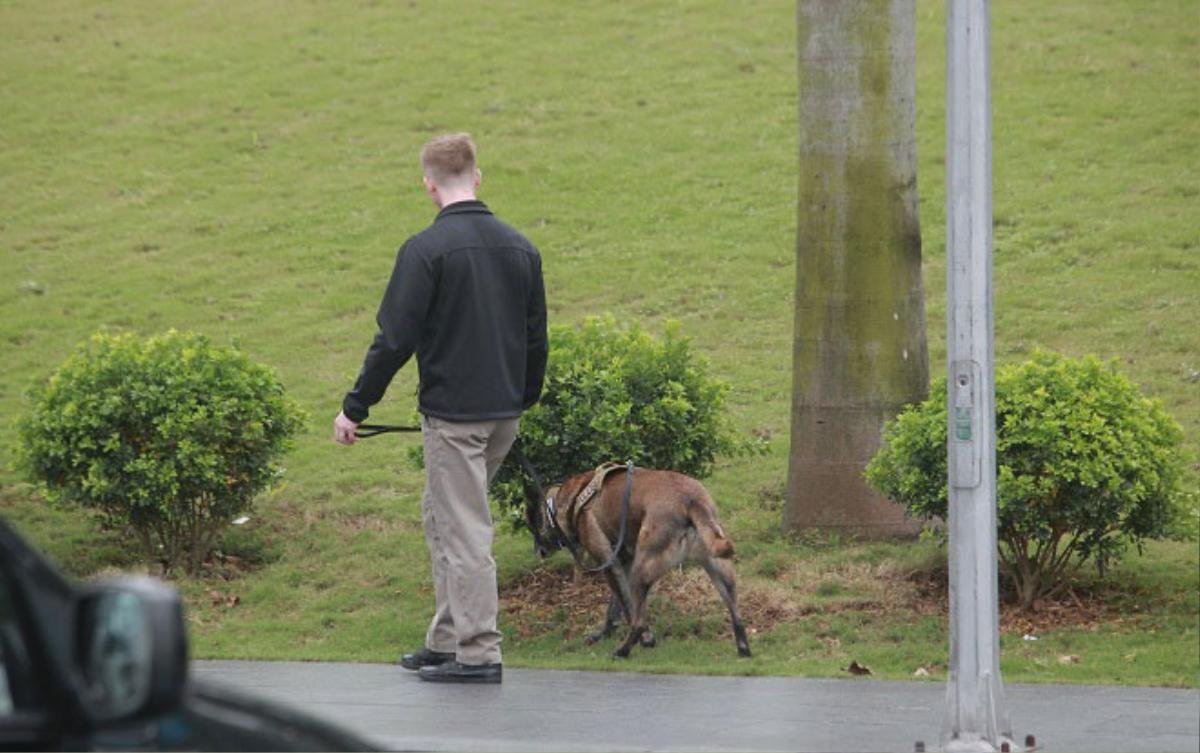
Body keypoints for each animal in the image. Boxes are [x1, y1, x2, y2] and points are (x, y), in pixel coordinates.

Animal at [525, 465, 748, 657]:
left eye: (533, 525)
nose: (538, 552)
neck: (573, 500)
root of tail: (691, 500)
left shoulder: (609, 563)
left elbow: (628, 608)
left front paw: (646, 639)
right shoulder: (622, 564)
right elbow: (614, 607)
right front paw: (604, 634)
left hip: (641, 572)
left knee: (639, 620)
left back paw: (623, 651)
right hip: (718, 569)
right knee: (736, 612)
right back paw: (744, 649)